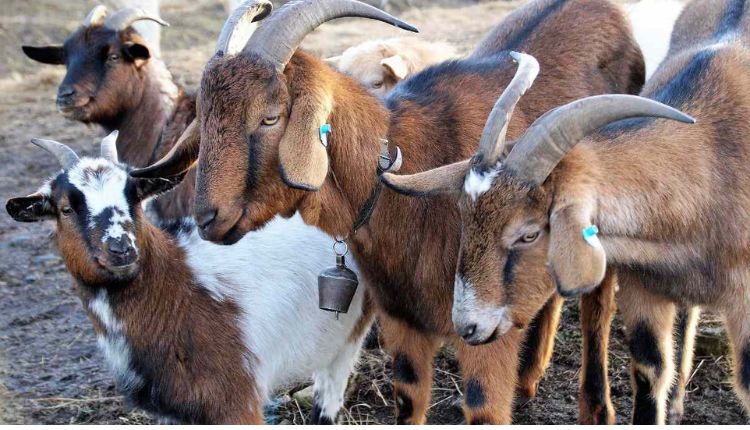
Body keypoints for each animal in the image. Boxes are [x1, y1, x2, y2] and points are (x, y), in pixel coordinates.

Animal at [5, 133, 371, 424]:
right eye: (65, 208)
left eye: (134, 197)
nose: (121, 248)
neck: (181, 288)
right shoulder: (174, 410)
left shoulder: (236, 399)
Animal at [380, 0, 750, 420]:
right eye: (464, 218)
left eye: (529, 233)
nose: (468, 326)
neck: (711, 160)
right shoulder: (644, 289)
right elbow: (649, 370)